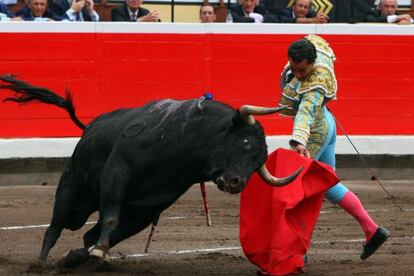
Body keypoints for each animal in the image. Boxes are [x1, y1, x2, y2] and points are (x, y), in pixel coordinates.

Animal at [0, 75, 304, 268]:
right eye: (244, 142)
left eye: (258, 161)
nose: (236, 182)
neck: (185, 146)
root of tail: (89, 127)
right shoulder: (117, 174)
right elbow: (111, 219)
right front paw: (92, 253)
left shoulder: (149, 208)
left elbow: (115, 230)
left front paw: (92, 254)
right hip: (71, 185)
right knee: (56, 224)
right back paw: (40, 263)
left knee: (86, 232)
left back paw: (80, 258)